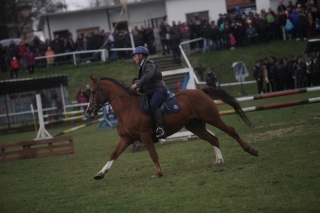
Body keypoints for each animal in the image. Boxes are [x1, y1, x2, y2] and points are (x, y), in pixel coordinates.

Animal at [87, 76, 258, 180]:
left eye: (94, 91)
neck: (127, 108)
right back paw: (219, 161)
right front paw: (100, 173)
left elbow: (153, 155)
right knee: (213, 139)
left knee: (231, 131)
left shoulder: (145, 136)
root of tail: (201, 91)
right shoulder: (126, 139)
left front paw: (158, 173)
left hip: (212, 118)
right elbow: (113, 154)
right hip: (195, 126)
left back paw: (251, 150)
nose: (88, 111)